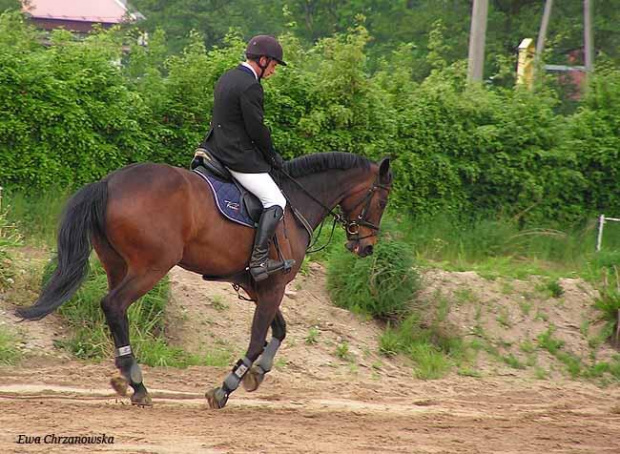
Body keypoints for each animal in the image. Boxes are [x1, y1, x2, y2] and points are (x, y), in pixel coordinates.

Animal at [17, 152, 392, 408]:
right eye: (383, 200)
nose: (366, 247)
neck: (295, 202)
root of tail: (108, 183)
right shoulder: (274, 285)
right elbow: (257, 339)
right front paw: (227, 387)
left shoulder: (259, 284)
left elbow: (280, 329)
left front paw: (258, 373)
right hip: (151, 267)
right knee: (114, 305)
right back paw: (136, 382)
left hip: (116, 264)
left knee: (115, 310)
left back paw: (125, 378)